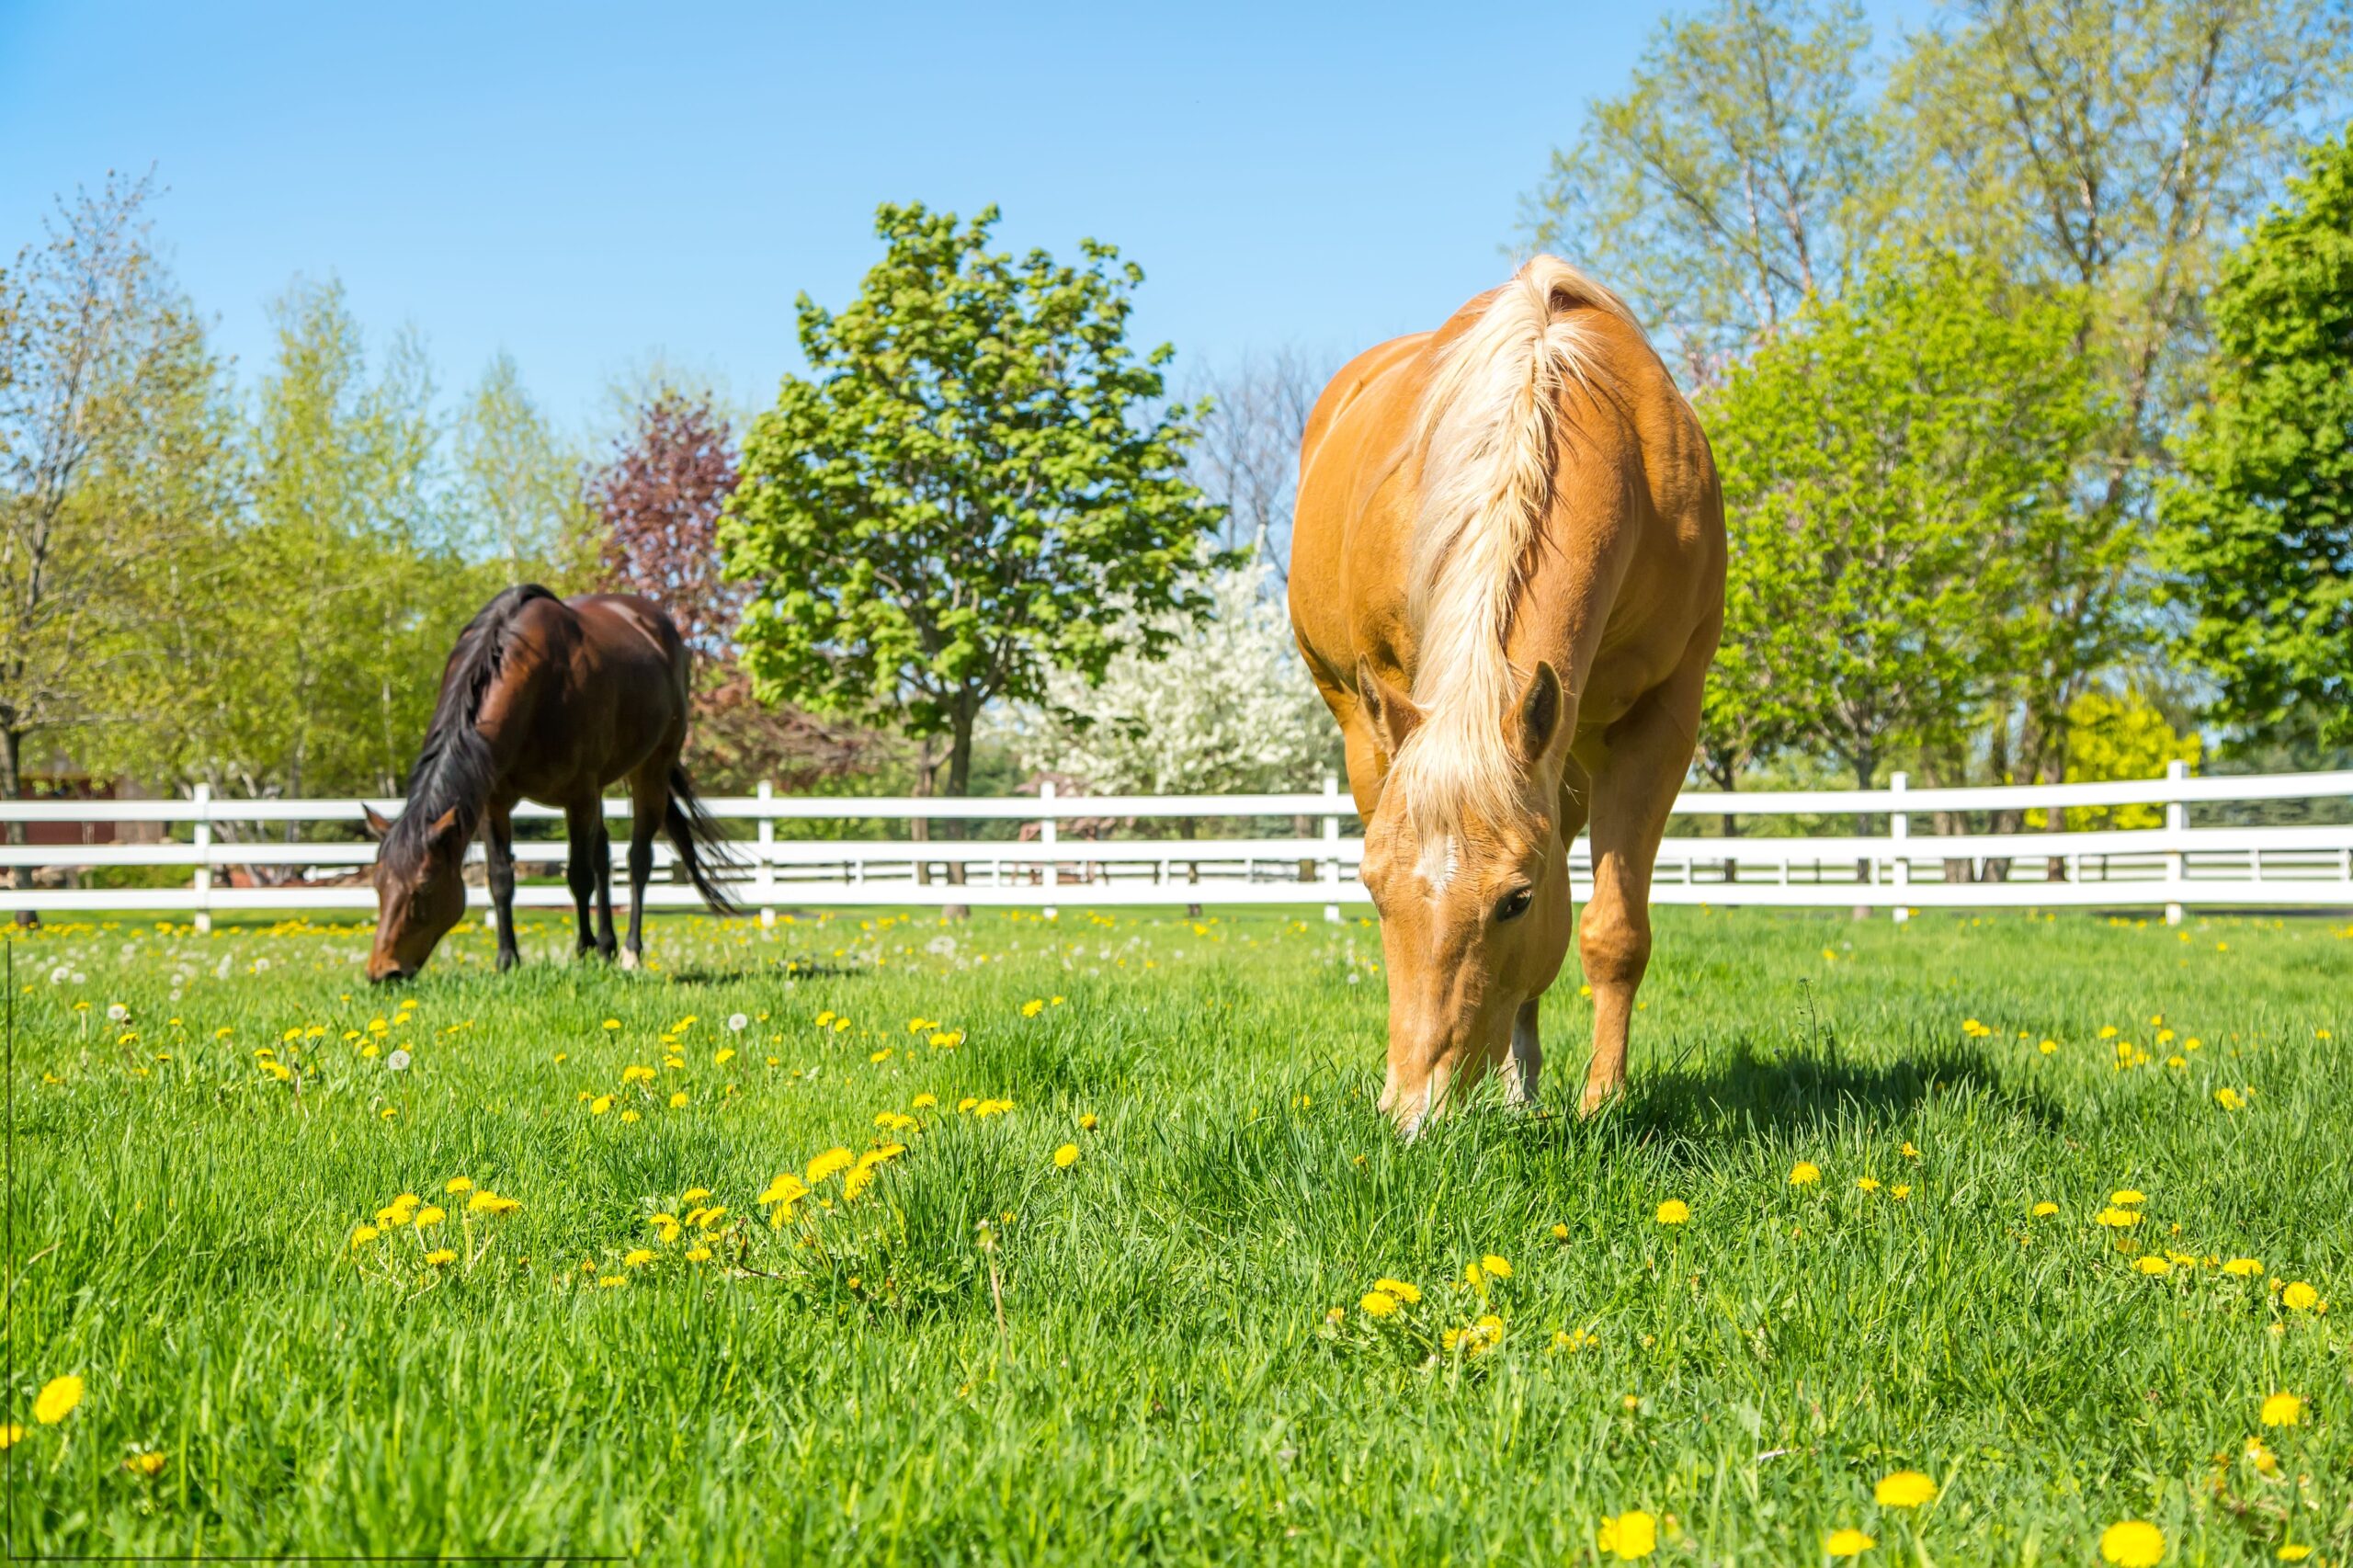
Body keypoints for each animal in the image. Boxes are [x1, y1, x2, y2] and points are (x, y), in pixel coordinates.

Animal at [362, 585, 741, 982]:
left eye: (423, 889)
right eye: (378, 884)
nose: (382, 972)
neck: (537, 682)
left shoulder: (579, 795)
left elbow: (578, 876)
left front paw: (584, 950)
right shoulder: (494, 802)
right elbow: (501, 879)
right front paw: (507, 959)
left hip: (649, 770)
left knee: (637, 861)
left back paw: (628, 952)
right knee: (603, 856)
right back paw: (607, 946)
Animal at [1289, 256, 1725, 1133]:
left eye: (1515, 902)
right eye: (1371, 891)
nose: (1415, 1116)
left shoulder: (1663, 719)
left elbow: (1613, 932)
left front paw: (1601, 1103)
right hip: (1361, 724)